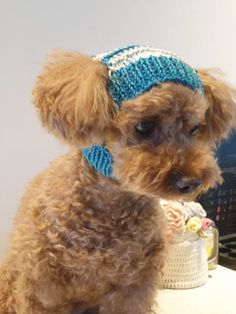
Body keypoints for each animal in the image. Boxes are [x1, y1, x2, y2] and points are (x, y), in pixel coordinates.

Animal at [0, 47, 235, 314]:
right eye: (144, 126)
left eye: (195, 127)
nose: (192, 182)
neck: (111, 210)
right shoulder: (44, 290)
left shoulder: (133, 286)